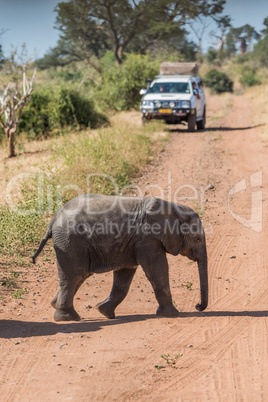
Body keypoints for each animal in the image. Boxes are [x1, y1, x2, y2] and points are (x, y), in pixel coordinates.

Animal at [31, 193, 207, 322]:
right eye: (197, 238)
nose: (198, 306)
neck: (173, 208)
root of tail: (54, 217)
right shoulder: (147, 238)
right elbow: (157, 271)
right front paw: (172, 315)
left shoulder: (133, 242)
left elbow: (124, 275)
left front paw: (104, 312)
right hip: (70, 242)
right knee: (75, 275)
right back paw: (68, 318)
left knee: (79, 275)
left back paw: (56, 306)